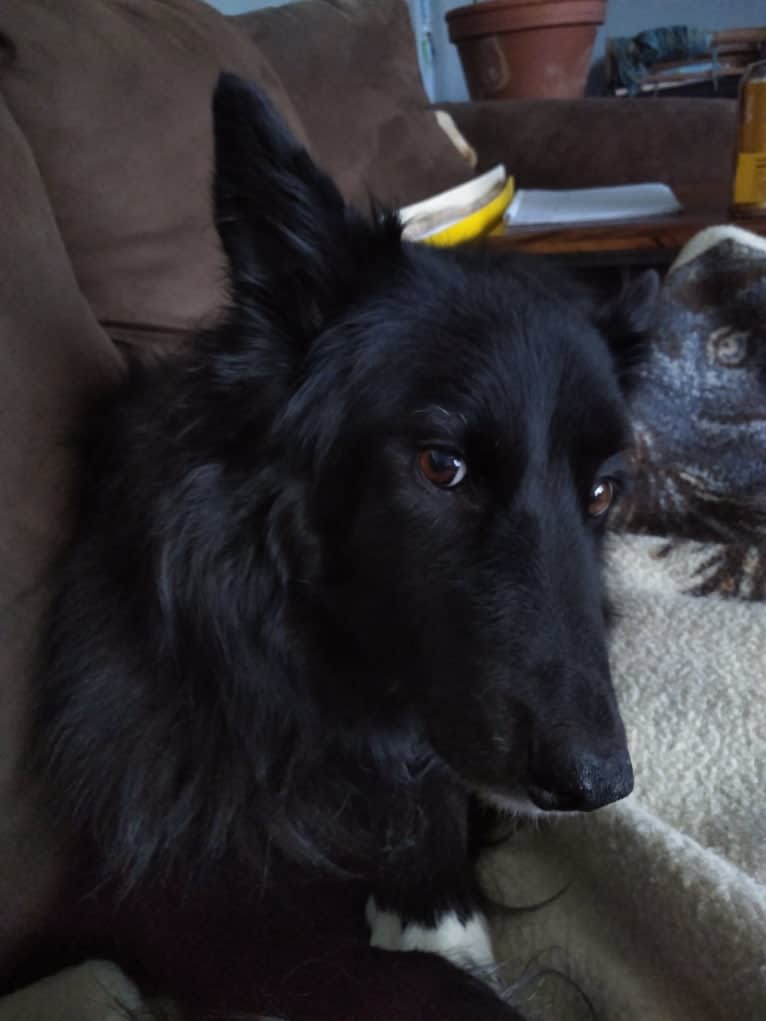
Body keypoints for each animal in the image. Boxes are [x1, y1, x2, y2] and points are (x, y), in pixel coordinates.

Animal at [31, 75, 661, 1016]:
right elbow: (408, 981)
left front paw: (431, 902)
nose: (598, 786)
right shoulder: (155, 886)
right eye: (442, 465)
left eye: (601, 492)